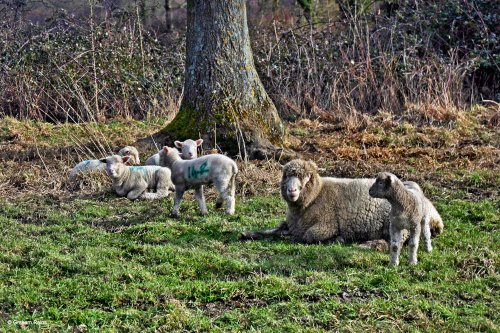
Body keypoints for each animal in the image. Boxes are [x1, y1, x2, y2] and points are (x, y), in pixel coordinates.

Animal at [241, 158, 394, 244]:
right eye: (286, 176)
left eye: (307, 176)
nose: (292, 190)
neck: (316, 195)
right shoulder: (292, 225)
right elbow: (275, 229)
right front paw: (248, 234)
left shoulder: (326, 225)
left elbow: (307, 236)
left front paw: (337, 239)